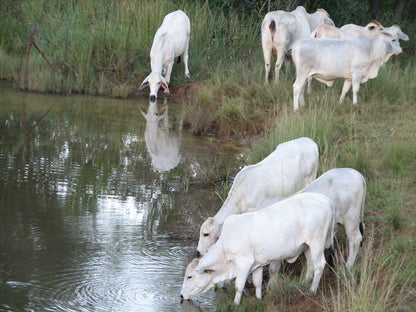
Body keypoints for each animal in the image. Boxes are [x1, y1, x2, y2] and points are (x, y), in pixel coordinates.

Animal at [180, 193, 336, 304]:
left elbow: (238, 285)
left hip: (317, 242)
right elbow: (257, 283)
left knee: (319, 264)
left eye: (189, 276)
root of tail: (325, 199)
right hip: (307, 246)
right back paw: (303, 284)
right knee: (310, 265)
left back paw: (312, 290)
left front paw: (236, 303)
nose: (181, 295)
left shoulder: (244, 262)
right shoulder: (257, 264)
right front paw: (259, 299)